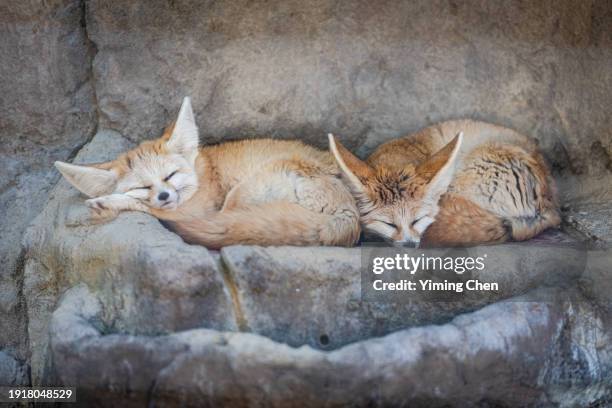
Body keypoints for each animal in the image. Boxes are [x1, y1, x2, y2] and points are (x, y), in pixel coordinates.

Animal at [55, 97, 360, 249]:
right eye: (143, 186)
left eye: (170, 176)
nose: (164, 196)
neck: (202, 170)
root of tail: (349, 216)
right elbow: (145, 205)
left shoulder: (196, 209)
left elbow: (147, 209)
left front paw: (108, 202)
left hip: (238, 196)